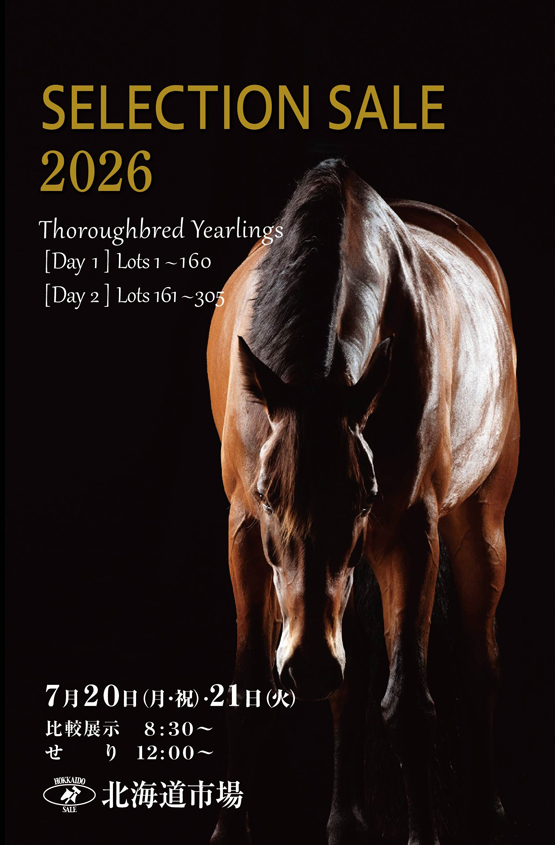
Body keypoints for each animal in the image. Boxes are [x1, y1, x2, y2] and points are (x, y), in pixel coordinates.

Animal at [206, 159, 519, 845]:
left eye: (365, 495)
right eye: (267, 493)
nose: (307, 667)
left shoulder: (408, 534)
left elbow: (408, 708)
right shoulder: (244, 535)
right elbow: (252, 694)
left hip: (479, 525)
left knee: (480, 663)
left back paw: (487, 811)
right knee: (349, 682)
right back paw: (346, 820)